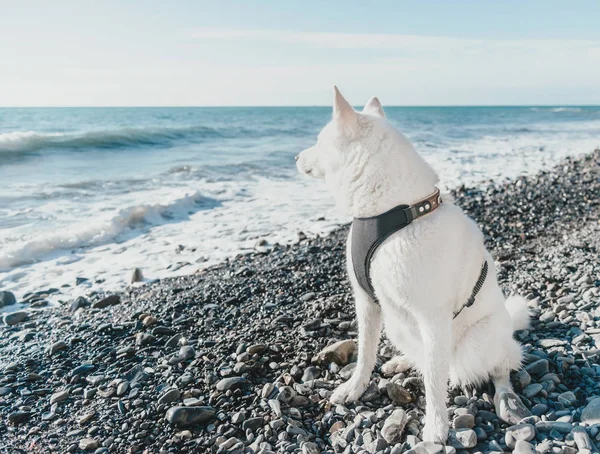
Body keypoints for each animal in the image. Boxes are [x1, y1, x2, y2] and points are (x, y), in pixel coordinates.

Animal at [296, 87, 528, 442]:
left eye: (319, 141)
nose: (296, 157)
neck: (394, 211)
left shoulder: (432, 317)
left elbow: (433, 380)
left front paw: (436, 426)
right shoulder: (367, 302)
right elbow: (365, 354)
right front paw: (354, 388)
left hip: (480, 340)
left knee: (500, 367)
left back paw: (506, 398)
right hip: (396, 323)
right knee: (420, 354)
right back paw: (401, 362)